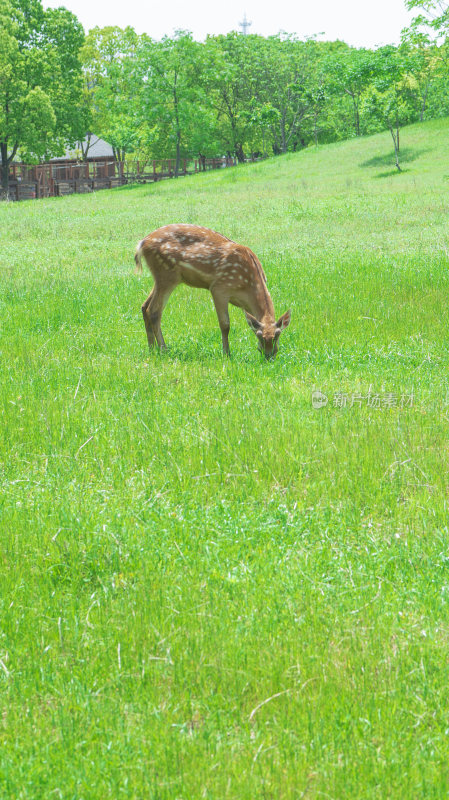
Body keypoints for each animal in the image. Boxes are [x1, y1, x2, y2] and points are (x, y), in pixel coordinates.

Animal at [135, 223, 292, 358]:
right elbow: (225, 324)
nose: (269, 356)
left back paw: (152, 349)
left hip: (160, 278)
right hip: (167, 274)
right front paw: (227, 353)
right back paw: (163, 349)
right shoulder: (219, 288)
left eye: (278, 335)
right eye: (259, 335)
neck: (248, 287)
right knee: (154, 310)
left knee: (144, 306)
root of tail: (142, 243)